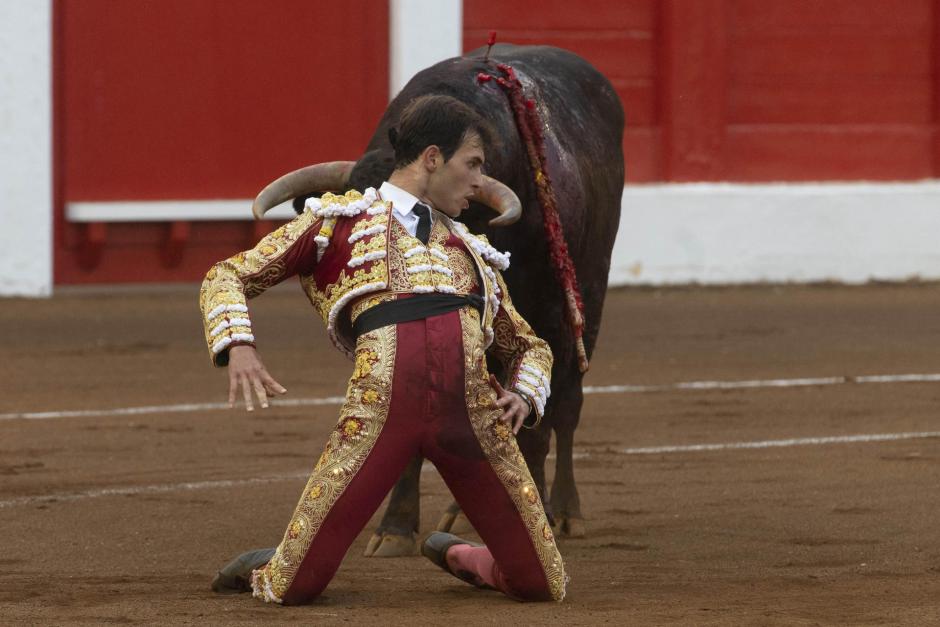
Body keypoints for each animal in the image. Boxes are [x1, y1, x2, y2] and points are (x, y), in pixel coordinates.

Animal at [253, 43, 628, 556]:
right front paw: (394, 528)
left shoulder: (547, 311)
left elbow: (536, 413)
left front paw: (539, 515)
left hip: (589, 295)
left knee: (567, 404)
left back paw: (567, 512)